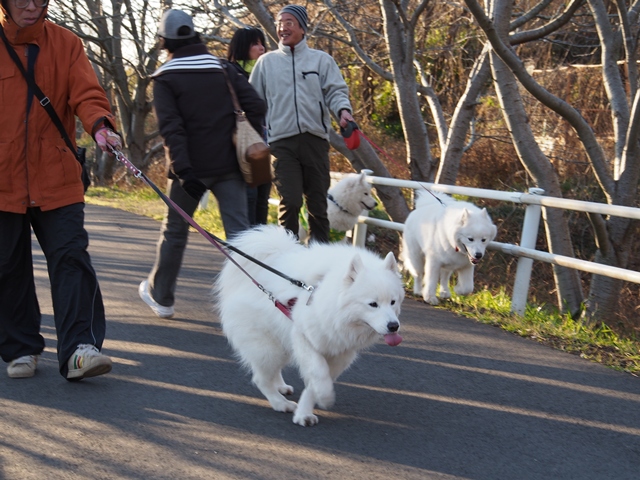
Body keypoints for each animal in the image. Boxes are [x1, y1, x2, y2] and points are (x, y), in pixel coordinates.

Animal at [218, 225, 402, 428]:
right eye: (373, 304)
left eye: (393, 302)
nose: (394, 326)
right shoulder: (304, 338)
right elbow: (319, 373)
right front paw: (324, 398)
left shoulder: (340, 353)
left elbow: (316, 382)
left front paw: (305, 412)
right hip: (268, 348)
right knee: (261, 379)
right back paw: (281, 403)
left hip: (280, 345)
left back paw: (280, 386)